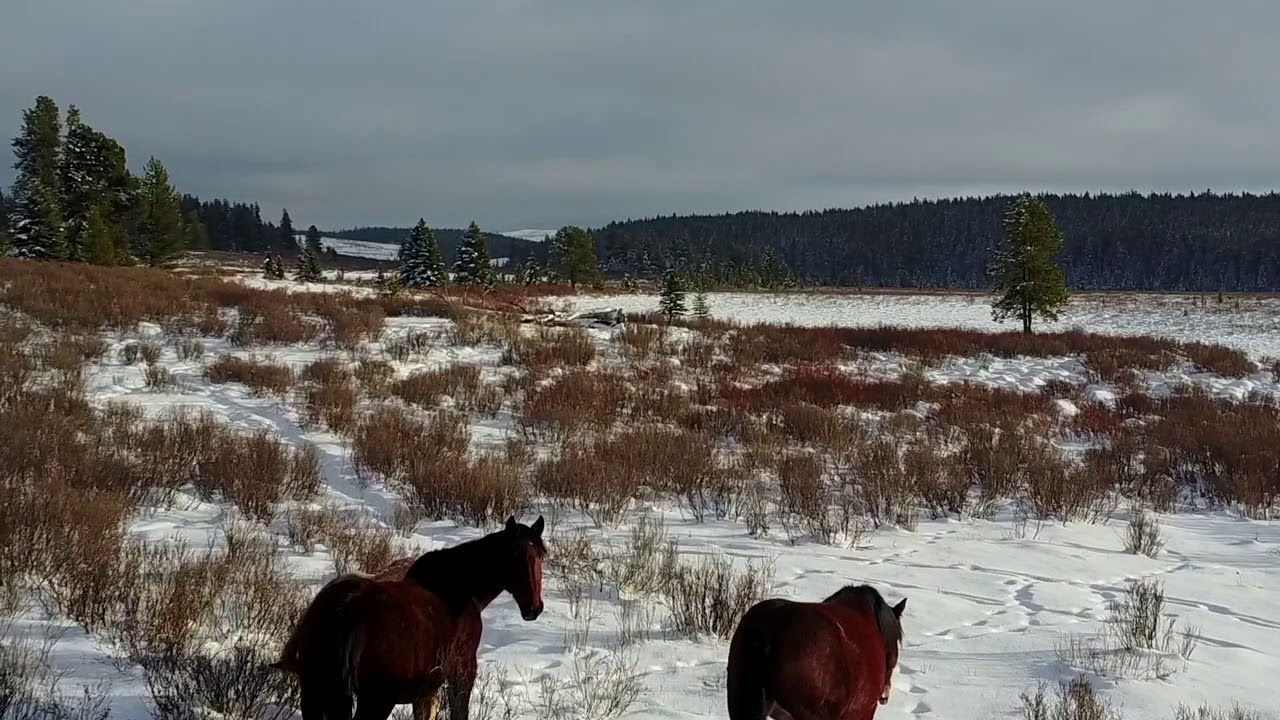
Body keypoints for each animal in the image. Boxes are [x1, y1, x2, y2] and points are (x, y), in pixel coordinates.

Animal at [290, 515, 547, 720]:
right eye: (514, 556)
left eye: (541, 556)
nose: (533, 608)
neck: (461, 588)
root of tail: (347, 609)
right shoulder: (462, 671)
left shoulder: (425, 690)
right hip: (376, 701)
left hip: (314, 695)